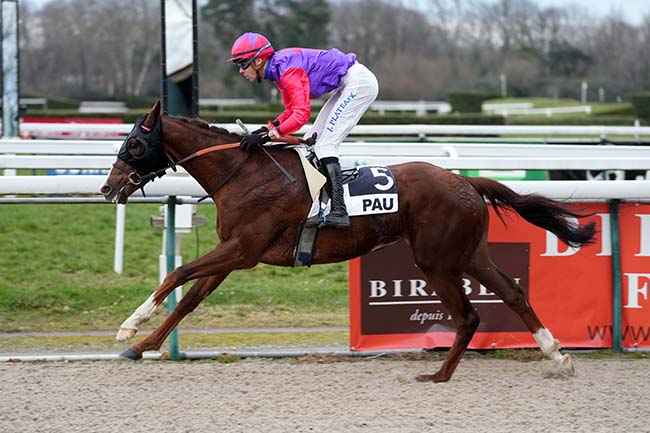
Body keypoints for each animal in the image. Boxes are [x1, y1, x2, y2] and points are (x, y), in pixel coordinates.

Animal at [100, 102, 592, 382]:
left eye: (135, 144)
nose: (108, 188)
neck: (243, 173)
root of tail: (466, 181)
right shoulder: (232, 254)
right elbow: (187, 299)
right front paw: (142, 346)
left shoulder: (243, 249)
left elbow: (177, 273)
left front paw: (129, 327)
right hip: (469, 254)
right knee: (513, 292)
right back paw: (557, 356)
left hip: (436, 261)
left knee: (468, 316)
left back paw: (438, 375)